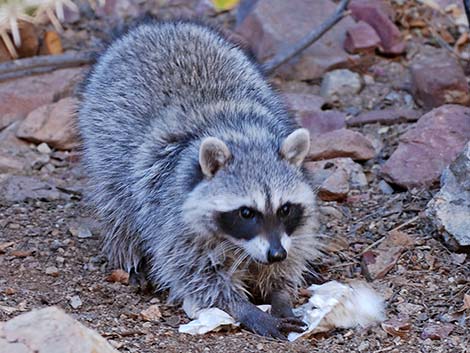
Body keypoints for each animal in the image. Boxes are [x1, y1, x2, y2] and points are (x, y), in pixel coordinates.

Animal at [79, 20, 322, 338]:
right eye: (246, 212)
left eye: (284, 209)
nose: (275, 254)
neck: (244, 137)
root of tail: (157, 27)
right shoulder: (170, 212)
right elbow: (191, 272)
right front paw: (245, 308)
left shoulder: (292, 227)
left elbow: (293, 254)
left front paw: (280, 294)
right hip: (105, 146)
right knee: (118, 205)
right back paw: (127, 253)